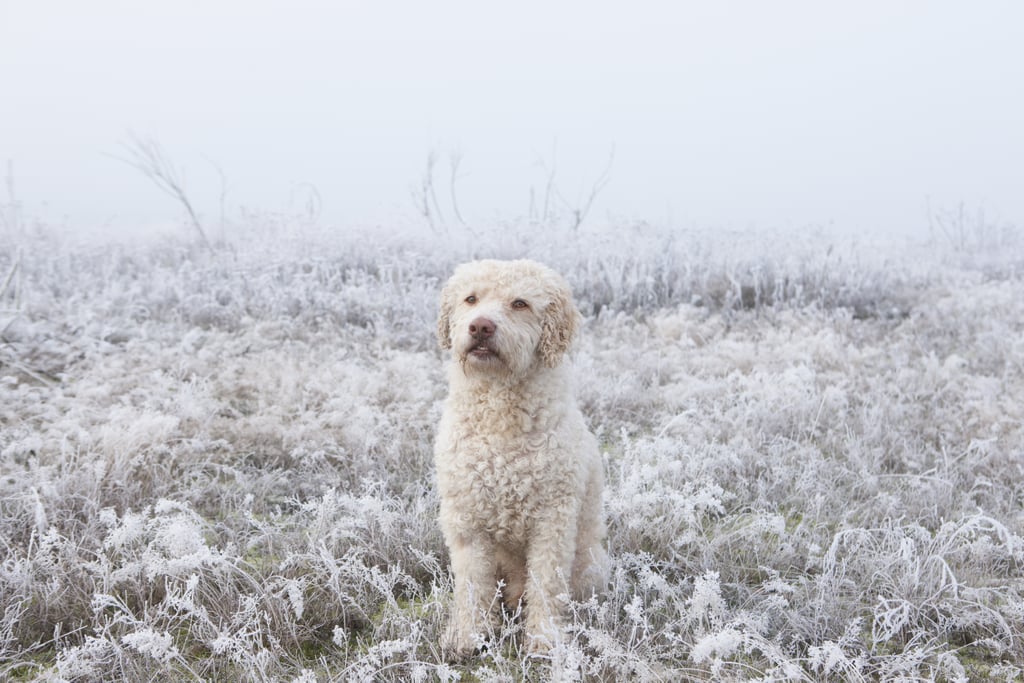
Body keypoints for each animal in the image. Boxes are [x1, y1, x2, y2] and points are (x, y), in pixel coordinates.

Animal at [434, 259, 606, 659]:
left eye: (520, 303)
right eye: (471, 298)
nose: (481, 326)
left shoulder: (552, 521)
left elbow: (547, 583)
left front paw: (544, 641)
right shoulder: (467, 521)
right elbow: (472, 586)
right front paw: (468, 637)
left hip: (590, 564)